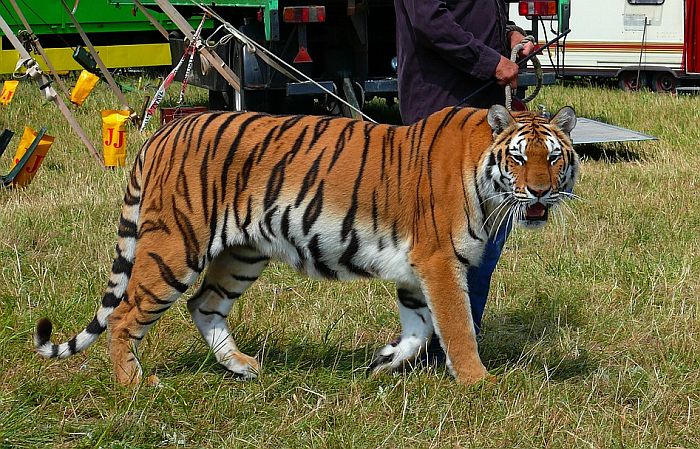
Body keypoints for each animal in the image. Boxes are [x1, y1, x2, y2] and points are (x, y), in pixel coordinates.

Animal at [32, 105, 576, 384]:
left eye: (554, 157)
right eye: (520, 158)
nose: (541, 192)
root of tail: (164, 132)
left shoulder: (416, 269)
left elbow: (420, 328)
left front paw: (383, 362)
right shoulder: (439, 261)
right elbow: (457, 327)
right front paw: (478, 383)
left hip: (241, 254)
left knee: (204, 304)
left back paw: (242, 367)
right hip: (175, 246)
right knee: (125, 314)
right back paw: (135, 386)